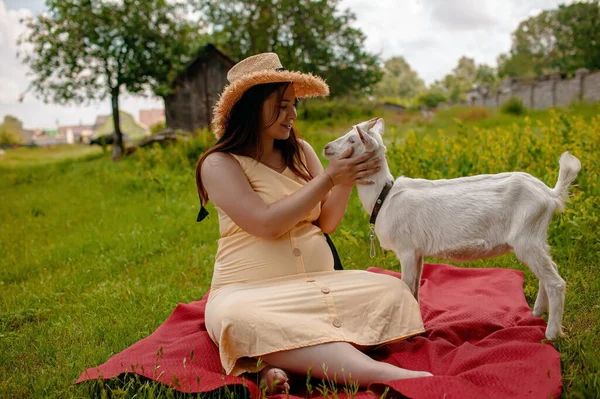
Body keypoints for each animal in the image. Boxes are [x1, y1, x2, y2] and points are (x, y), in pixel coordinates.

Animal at [324, 117, 580, 340]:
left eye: (352, 140)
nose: (326, 147)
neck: (383, 197)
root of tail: (550, 194)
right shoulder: (418, 251)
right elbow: (415, 289)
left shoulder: (407, 249)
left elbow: (406, 286)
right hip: (537, 236)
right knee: (549, 271)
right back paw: (536, 313)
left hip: (527, 237)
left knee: (556, 282)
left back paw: (551, 334)